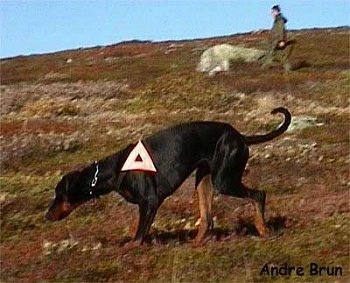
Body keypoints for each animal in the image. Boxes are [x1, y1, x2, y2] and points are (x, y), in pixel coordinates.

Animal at [47, 107, 292, 245]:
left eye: (59, 194)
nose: (47, 216)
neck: (115, 169)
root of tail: (241, 136)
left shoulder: (150, 201)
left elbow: (139, 235)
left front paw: (129, 248)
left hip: (224, 180)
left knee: (258, 195)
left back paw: (263, 230)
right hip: (204, 180)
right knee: (207, 219)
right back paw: (195, 244)